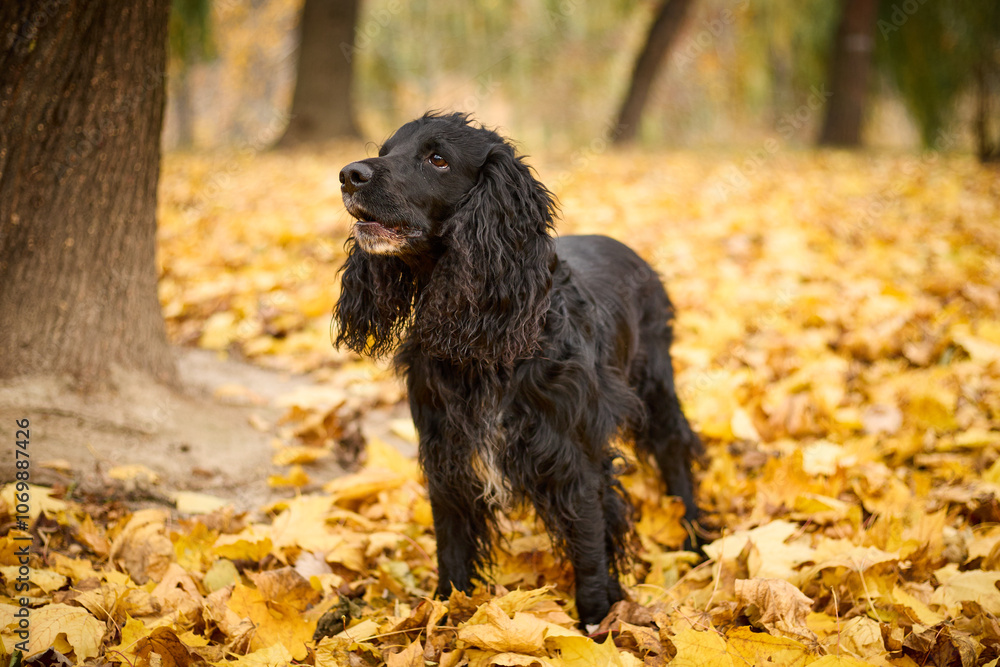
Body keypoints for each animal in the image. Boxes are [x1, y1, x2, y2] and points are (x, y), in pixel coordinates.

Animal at [334, 112, 700, 627]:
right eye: (386, 150)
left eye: (438, 158)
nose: (350, 175)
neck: (483, 337)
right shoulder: (446, 456)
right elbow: (451, 549)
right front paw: (442, 618)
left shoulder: (573, 459)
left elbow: (589, 546)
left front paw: (597, 622)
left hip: (655, 386)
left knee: (675, 452)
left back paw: (697, 542)